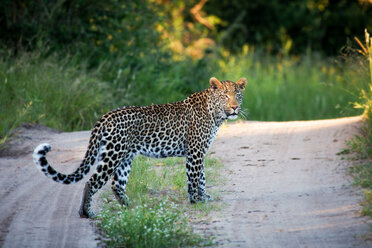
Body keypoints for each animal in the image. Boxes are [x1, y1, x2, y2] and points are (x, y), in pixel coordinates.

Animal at [32, 76, 247, 218]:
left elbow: (200, 177)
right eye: (225, 96)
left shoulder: (198, 153)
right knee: (92, 181)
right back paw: (87, 212)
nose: (235, 107)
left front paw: (202, 198)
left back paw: (130, 207)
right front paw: (196, 201)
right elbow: (195, 178)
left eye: (237, 95)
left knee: (117, 184)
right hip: (113, 154)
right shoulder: (195, 152)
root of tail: (106, 116)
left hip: (125, 157)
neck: (215, 114)